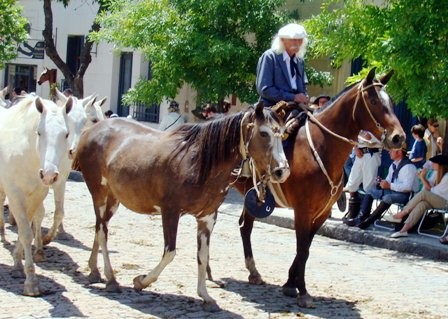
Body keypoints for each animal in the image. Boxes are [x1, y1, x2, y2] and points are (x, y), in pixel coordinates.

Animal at [0, 95, 72, 298]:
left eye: (66, 134)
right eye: (39, 133)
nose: (49, 175)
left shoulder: (36, 195)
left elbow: (26, 231)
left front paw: (18, 264)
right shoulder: (15, 195)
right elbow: (25, 233)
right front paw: (31, 282)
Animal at [77, 103, 290, 312]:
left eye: (283, 135)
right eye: (263, 133)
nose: (282, 171)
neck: (199, 163)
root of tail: (92, 130)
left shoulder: (207, 217)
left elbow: (202, 256)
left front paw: (205, 296)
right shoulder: (170, 212)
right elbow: (170, 253)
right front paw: (142, 281)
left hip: (113, 199)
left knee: (99, 227)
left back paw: (94, 270)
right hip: (99, 193)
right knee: (102, 231)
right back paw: (111, 279)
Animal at [234, 69, 406, 308]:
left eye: (390, 101)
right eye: (373, 101)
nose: (399, 137)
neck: (322, 147)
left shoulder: (321, 213)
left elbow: (306, 248)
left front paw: (290, 284)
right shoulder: (303, 210)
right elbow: (302, 248)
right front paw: (302, 291)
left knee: (244, 227)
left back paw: (254, 273)